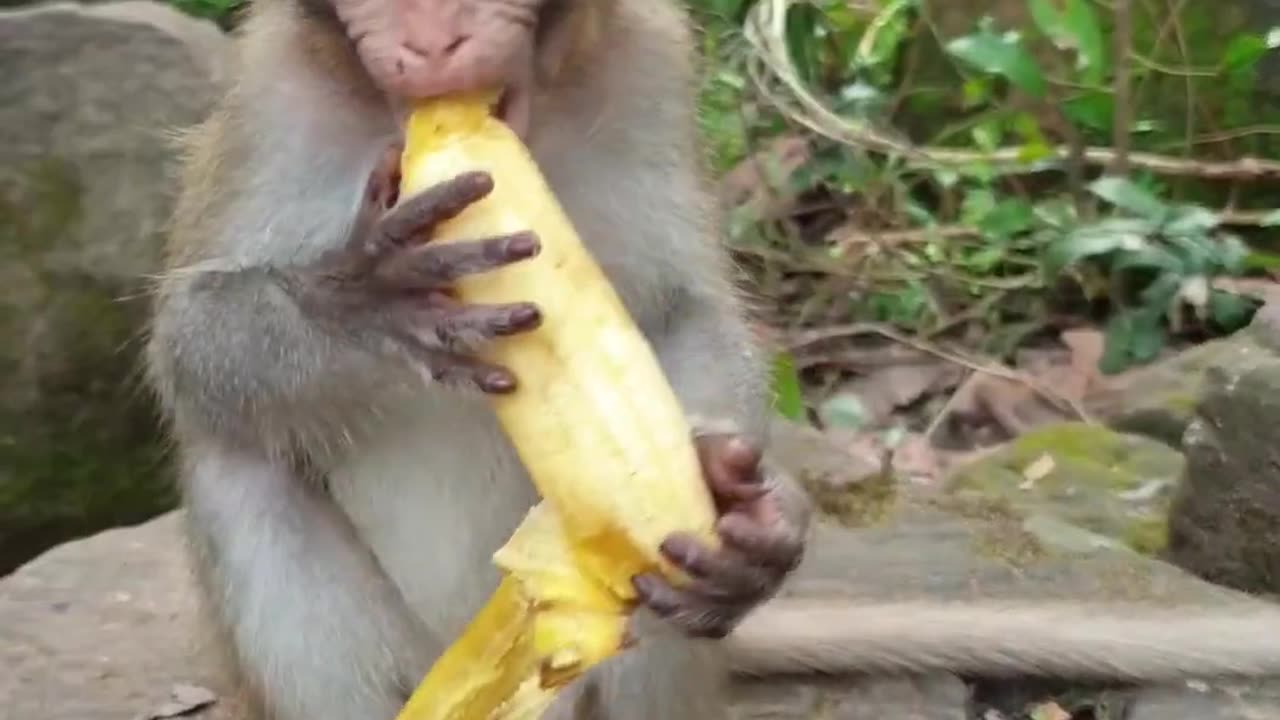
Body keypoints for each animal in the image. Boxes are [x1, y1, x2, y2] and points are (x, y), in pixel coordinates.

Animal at [145, 1, 1280, 717]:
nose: (432, 39)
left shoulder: (649, 65)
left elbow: (691, 313)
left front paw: (755, 517)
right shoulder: (271, 91)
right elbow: (190, 344)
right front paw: (365, 298)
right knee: (236, 461)